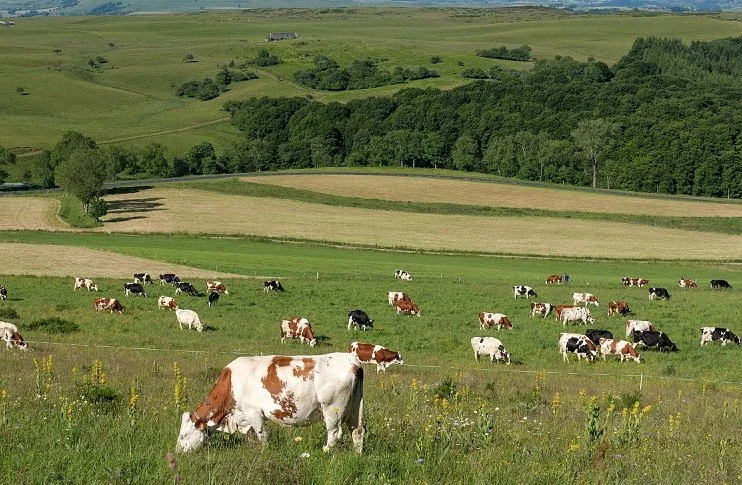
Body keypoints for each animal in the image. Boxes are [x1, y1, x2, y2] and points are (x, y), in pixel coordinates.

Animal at [175, 353, 364, 455]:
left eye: (183, 435)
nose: (177, 452)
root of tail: (352, 360)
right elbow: (251, 436)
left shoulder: (253, 413)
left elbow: (262, 435)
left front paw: (263, 453)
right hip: (355, 409)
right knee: (358, 431)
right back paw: (357, 455)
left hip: (332, 409)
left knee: (334, 434)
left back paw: (325, 453)